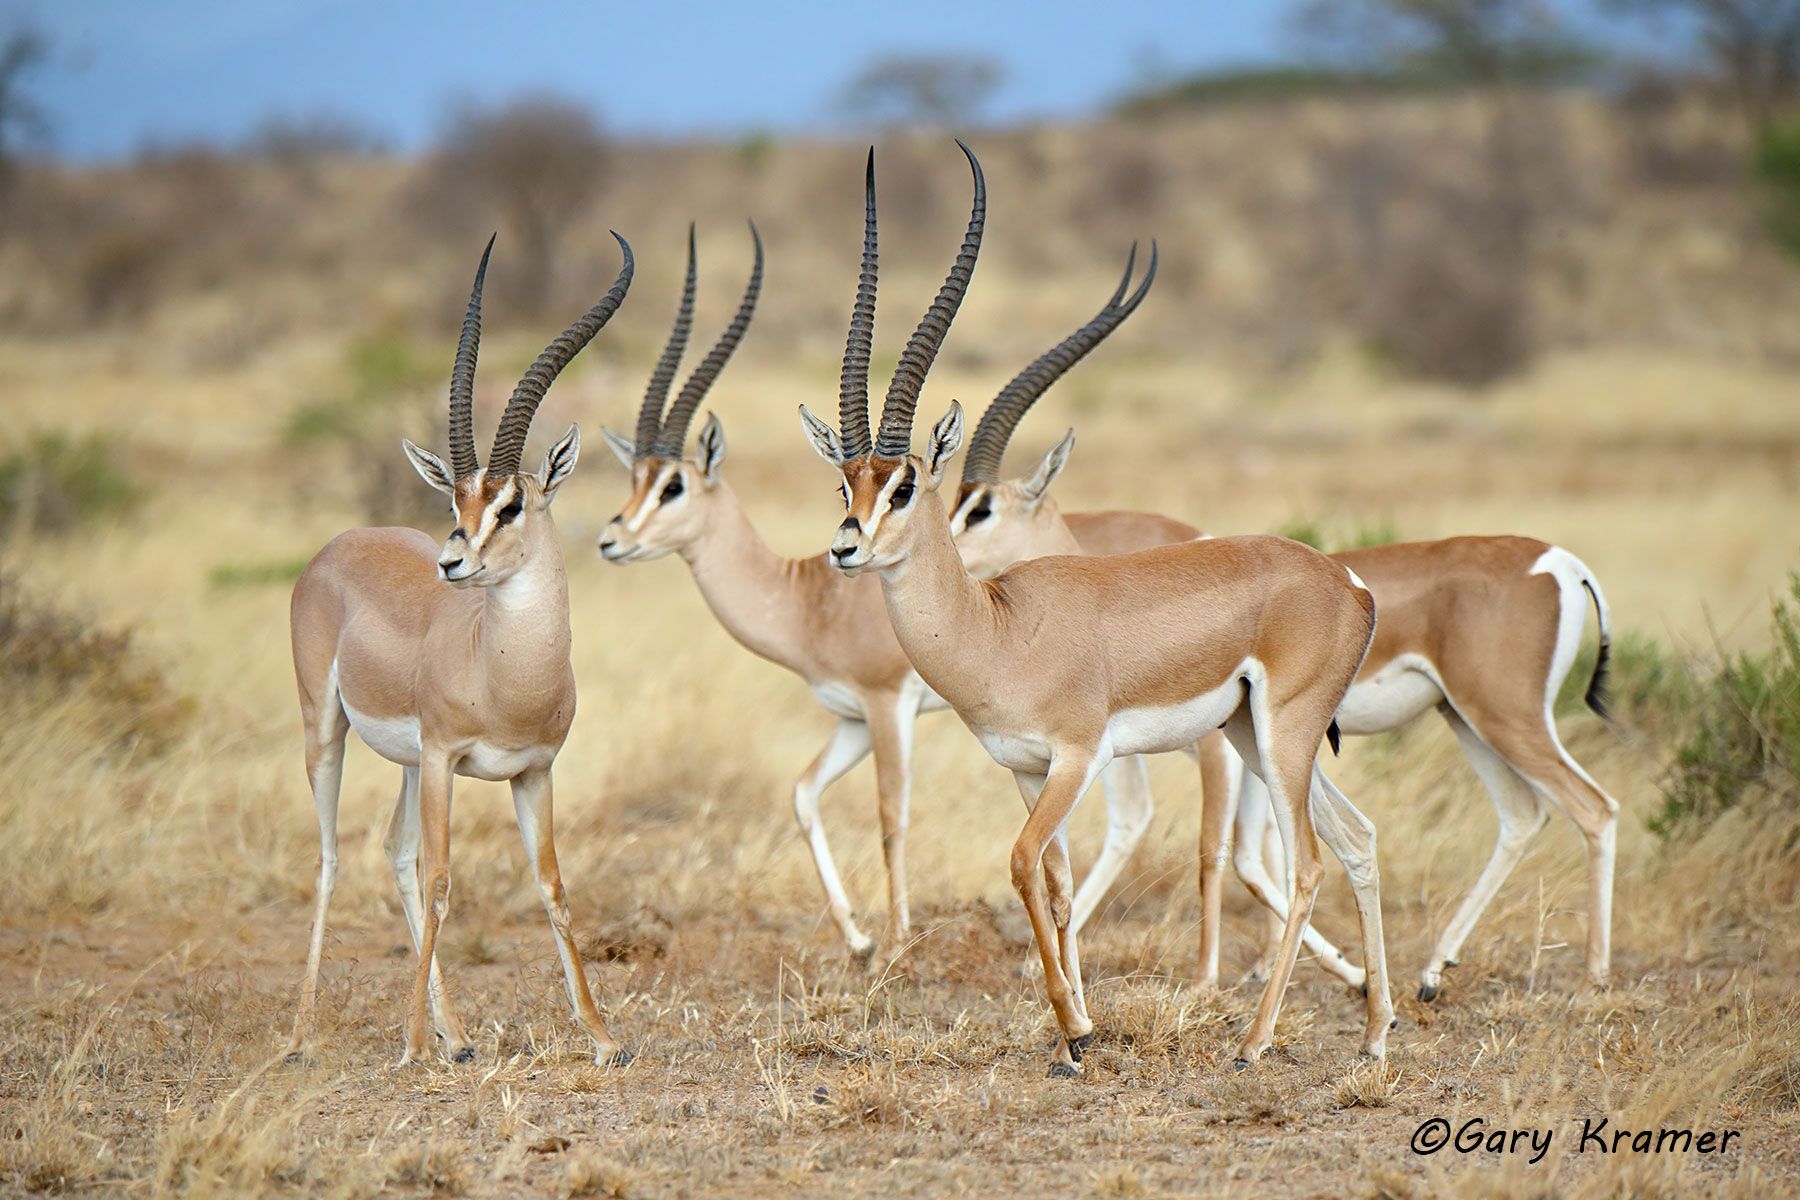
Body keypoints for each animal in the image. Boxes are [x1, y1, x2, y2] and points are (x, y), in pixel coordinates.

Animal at [287, 235, 634, 1067]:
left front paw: (603, 1038)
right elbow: (445, 880)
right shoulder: (449, 758)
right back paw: (308, 1032)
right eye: (456, 501)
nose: (451, 563)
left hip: (411, 765)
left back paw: (459, 1035)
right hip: (328, 731)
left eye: (511, 504)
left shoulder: (534, 771)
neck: (505, 675)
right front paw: (411, 1044)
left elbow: (552, 887)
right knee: (334, 857)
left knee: (394, 849)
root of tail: (336, 545)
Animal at [594, 209, 1223, 966]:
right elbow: (804, 795)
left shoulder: (888, 706)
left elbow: (891, 811)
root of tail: (1202, 537)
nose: (611, 539)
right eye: (843, 485)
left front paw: (894, 940)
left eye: (674, 485)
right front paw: (859, 937)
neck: (806, 600)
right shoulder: (849, 718)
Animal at [798, 141, 1394, 1074]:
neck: (1000, 629)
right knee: (1358, 839)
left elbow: (1019, 864)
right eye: (845, 483)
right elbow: (1058, 881)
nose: (845, 549)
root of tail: (1347, 583)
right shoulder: (1023, 769)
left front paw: (1075, 1029)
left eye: (905, 485)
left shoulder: (1076, 761)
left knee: (1307, 863)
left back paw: (1253, 1043)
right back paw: (1372, 1037)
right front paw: (1075, 1027)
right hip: (1253, 738)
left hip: (1284, 738)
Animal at [950, 335, 1621, 1007]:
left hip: (1502, 717)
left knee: (1593, 808)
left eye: (981, 510)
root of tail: (1562, 563)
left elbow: (1220, 850)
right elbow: (1255, 855)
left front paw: (1209, 981)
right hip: (1463, 718)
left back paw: (1590, 976)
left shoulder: (1215, 751)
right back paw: (1432, 971)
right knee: (1522, 815)